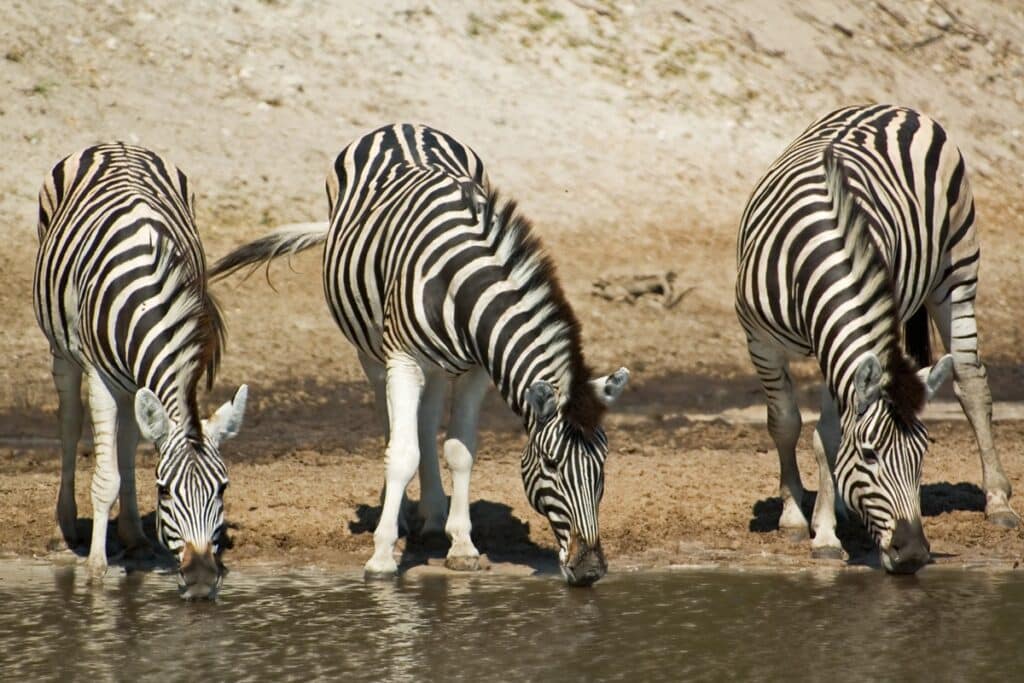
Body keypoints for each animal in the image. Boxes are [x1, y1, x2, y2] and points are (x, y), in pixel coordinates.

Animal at [35, 144, 248, 598]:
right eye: (164, 492)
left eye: (223, 488)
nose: (201, 582)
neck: (149, 297)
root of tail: (115, 145)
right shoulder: (99, 376)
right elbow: (106, 478)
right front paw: (96, 570)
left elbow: (128, 453)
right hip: (62, 349)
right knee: (69, 421)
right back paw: (66, 527)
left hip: (132, 381)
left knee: (130, 439)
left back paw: (132, 533)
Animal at [208, 124, 626, 589]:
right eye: (551, 464)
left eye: (602, 464)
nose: (589, 570)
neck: (460, 285)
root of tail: (403, 126)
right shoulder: (404, 360)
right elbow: (403, 453)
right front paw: (382, 554)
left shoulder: (477, 369)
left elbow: (460, 449)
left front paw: (461, 545)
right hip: (372, 349)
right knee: (391, 420)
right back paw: (402, 513)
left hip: (439, 363)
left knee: (425, 420)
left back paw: (433, 512)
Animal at [737, 104, 1015, 573]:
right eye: (868, 455)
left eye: (923, 455)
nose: (913, 554)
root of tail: (899, 109)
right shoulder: (760, 341)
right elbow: (788, 423)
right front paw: (796, 518)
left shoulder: (836, 346)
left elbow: (825, 436)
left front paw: (823, 532)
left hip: (958, 270)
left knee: (971, 382)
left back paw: (998, 501)